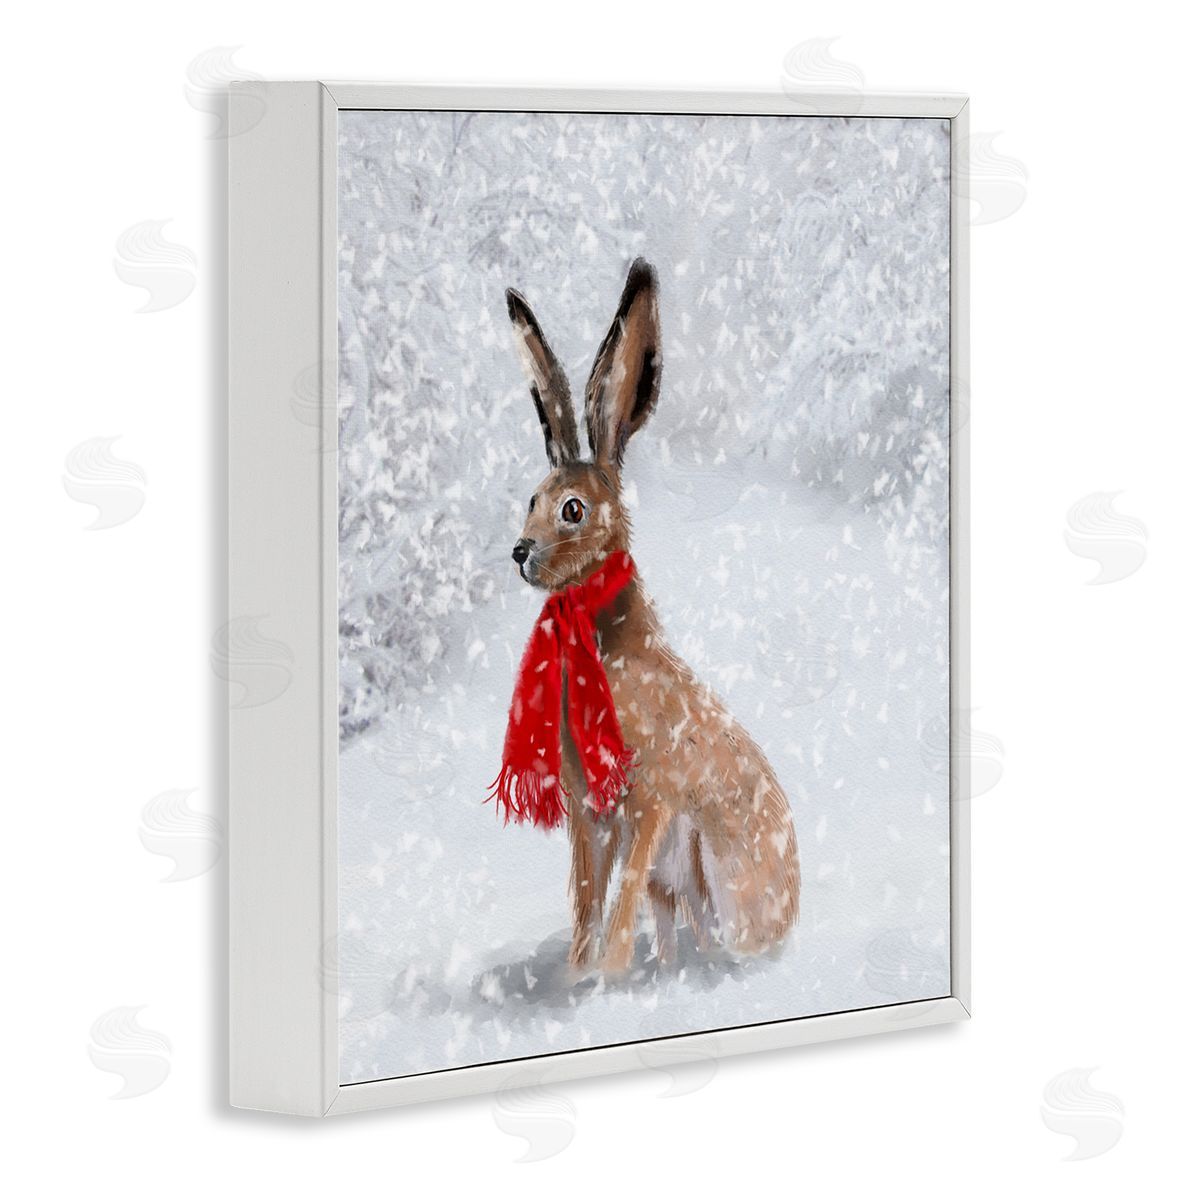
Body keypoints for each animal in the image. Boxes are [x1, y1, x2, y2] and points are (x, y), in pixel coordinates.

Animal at [503, 257, 800, 975]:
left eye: (573, 509)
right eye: (531, 499)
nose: (520, 552)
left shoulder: (652, 801)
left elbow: (616, 906)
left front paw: (603, 978)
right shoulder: (589, 817)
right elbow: (587, 902)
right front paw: (580, 977)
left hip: (709, 861)